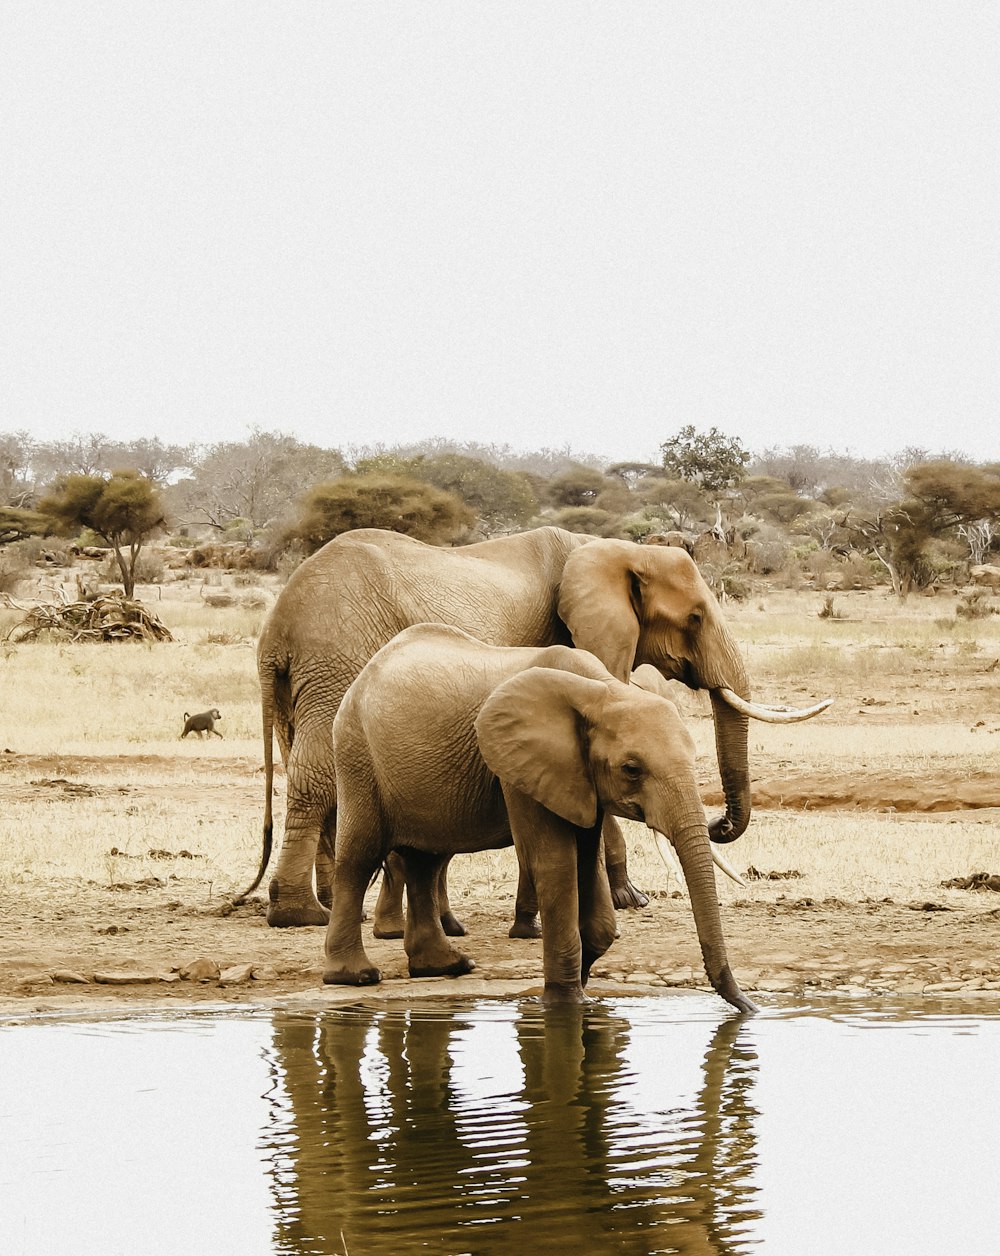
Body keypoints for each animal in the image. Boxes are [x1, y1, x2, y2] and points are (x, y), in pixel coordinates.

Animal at [243, 525, 829, 929]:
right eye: (695, 618)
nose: (717, 824)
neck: (609, 549)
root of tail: (276, 629)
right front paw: (629, 899)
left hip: (308, 677)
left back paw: (340, 907)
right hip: (336, 657)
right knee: (317, 773)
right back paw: (302, 915)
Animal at [324, 622, 753, 1014]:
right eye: (632, 769)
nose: (748, 1008)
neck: (602, 691)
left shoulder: (579, 777)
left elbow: (588, 864)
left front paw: (583, 988)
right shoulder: (519, 767)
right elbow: (555, 863)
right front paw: (565, 1004)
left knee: (424, 861)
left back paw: (445, 967)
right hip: (357, 753)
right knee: (359, 858)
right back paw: (355, 976)